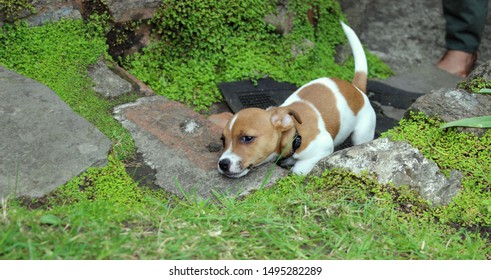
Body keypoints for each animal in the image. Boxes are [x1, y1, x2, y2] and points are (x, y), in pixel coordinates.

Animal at [217, 23, 374, 178]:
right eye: (223, 139)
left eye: (247, 138)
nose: (223, 164)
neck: (295, 135)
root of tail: (356, 88)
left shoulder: (323, 145)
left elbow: (299, 170)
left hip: (362, 135)